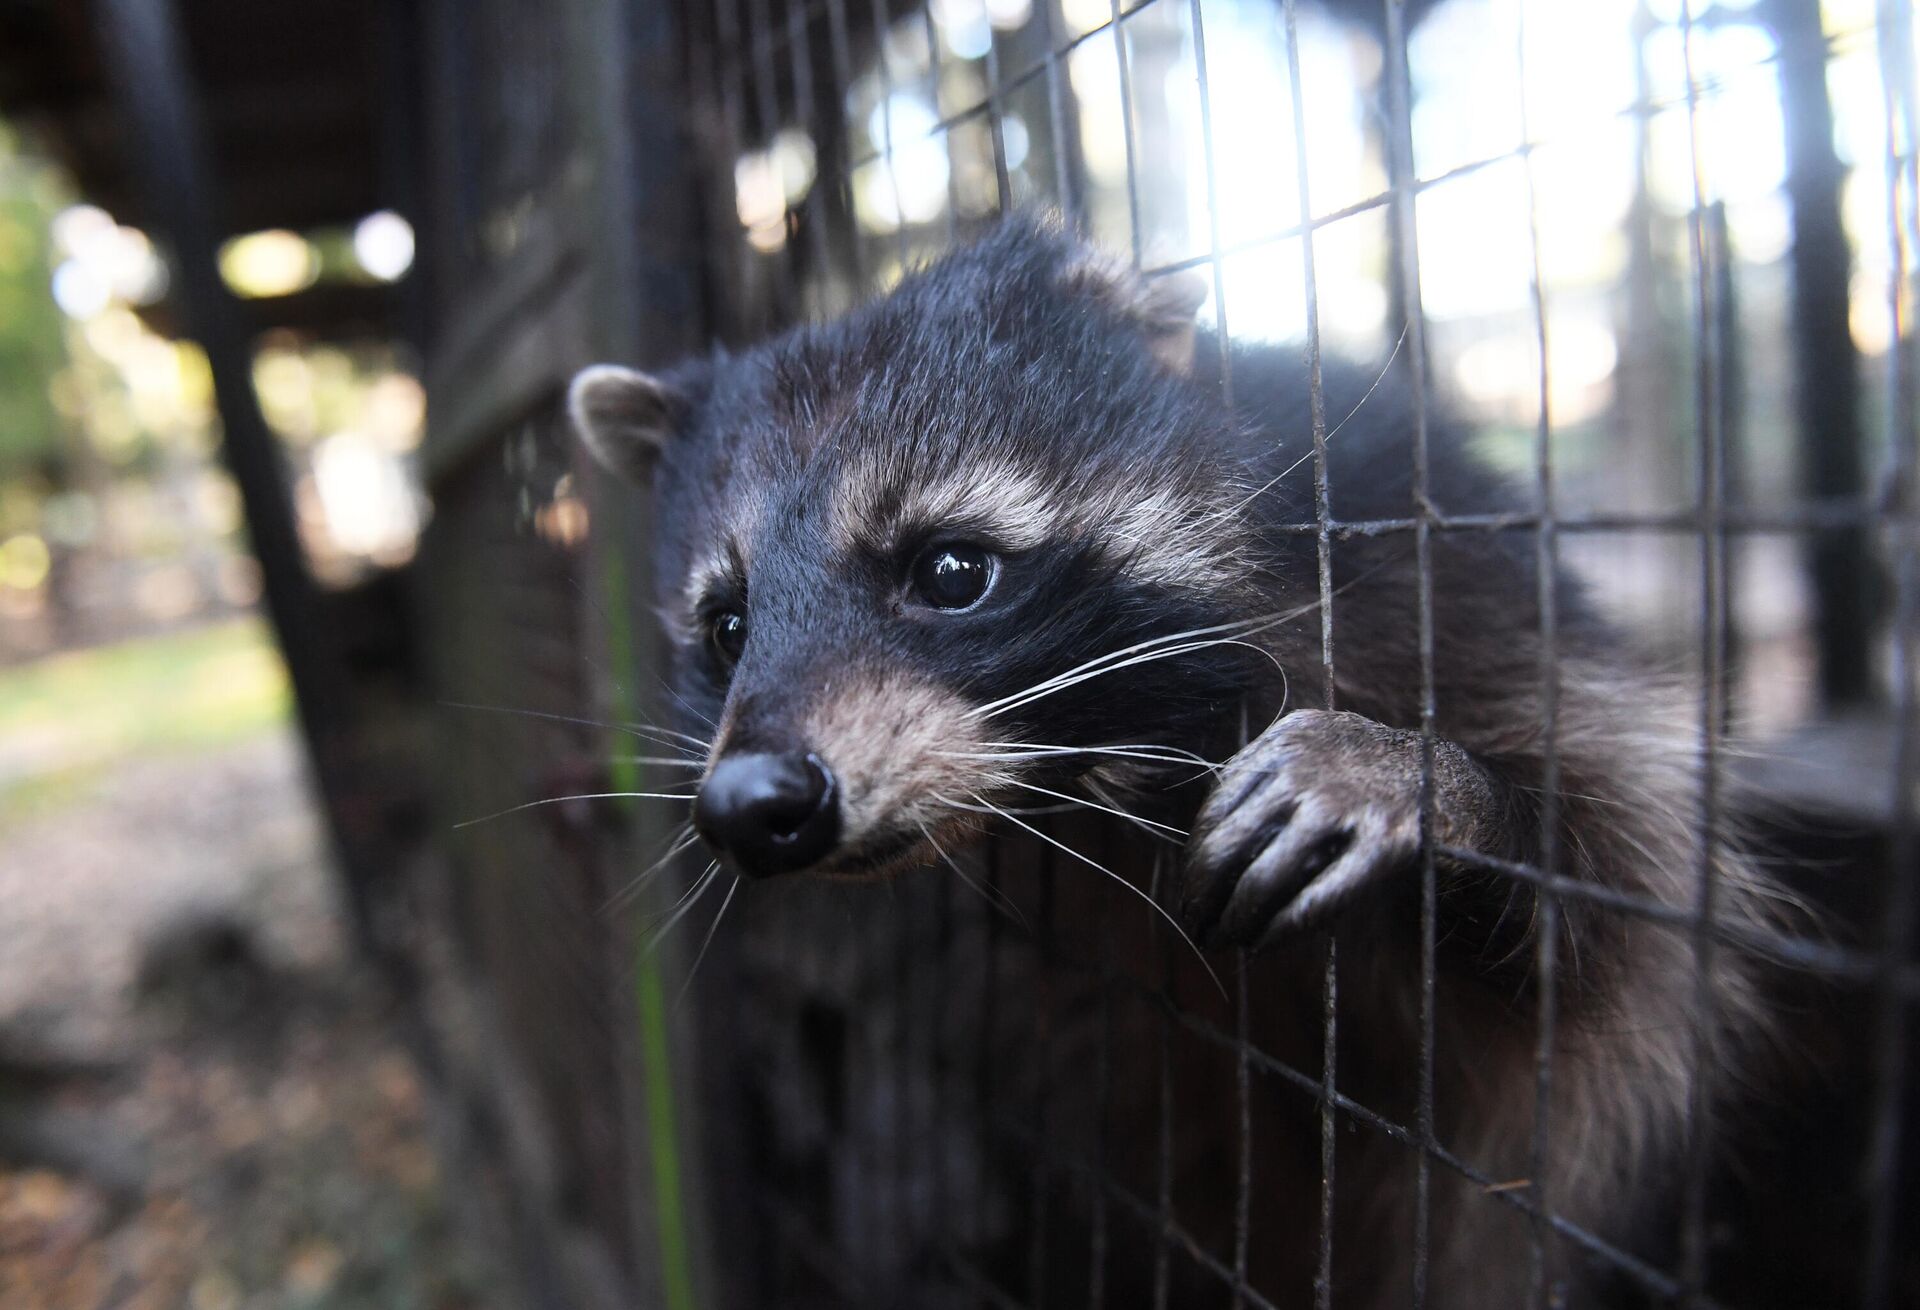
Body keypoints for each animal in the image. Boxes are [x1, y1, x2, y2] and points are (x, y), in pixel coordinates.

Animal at [564, 218, 1766, 1298]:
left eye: (953, 570)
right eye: (726, 628)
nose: (750, 801)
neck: (1095, 782)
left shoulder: (1454, 589)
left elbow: (1623, 900)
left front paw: (1429, 784)